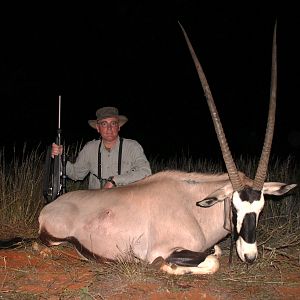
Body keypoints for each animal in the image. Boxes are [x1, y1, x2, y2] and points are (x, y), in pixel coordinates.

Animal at [37, 23, 296, 274]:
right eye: (233, 208)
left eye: (260, 209)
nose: (250, 256)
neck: (193, 207)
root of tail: (49, 207)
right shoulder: (165, 249)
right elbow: (210, 261)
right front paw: (165, 266)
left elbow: (216, 253)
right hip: (57, 237)